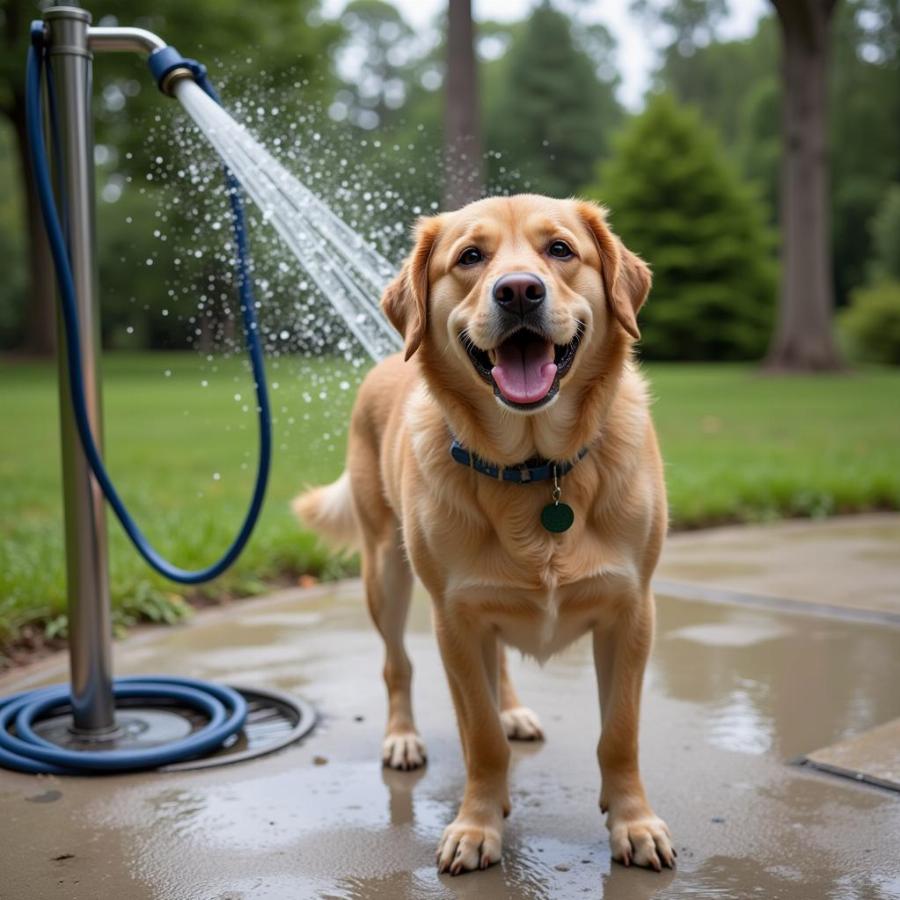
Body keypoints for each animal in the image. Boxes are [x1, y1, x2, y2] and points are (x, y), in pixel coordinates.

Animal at [296, 195, 676, 872]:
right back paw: (402, 738)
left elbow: (619, 733)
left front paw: (633, 822)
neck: (536, 469)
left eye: (560, 249)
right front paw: (478, 827)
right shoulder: (456, 620)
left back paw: (515, 710)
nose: (519, 290)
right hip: (385, 575)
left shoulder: (632, 612)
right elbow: (481, 737)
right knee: (396, 666)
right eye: (470, 257)